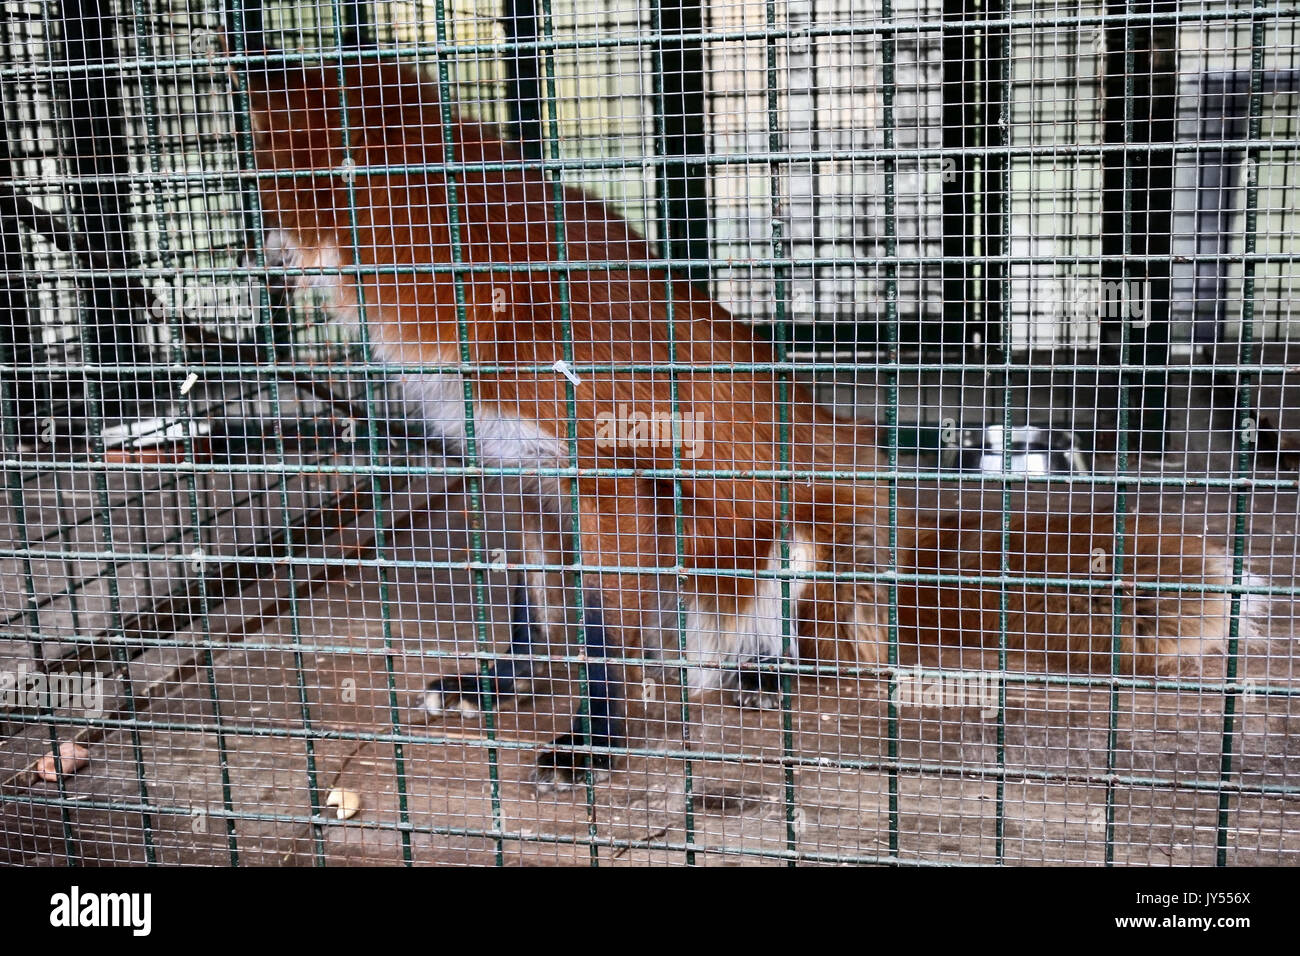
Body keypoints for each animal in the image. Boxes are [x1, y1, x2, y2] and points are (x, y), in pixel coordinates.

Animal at [237, 53, 1266, 786]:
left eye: (254, 189)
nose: (243, 252)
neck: (489, 295)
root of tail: (901, 550)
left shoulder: (611, 488)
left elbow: (602, 645)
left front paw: (594, 742)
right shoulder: (520, 479)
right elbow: (532, 618)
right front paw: (505, 686)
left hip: (792, 549)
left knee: (825, 656)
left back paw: (762, 677)